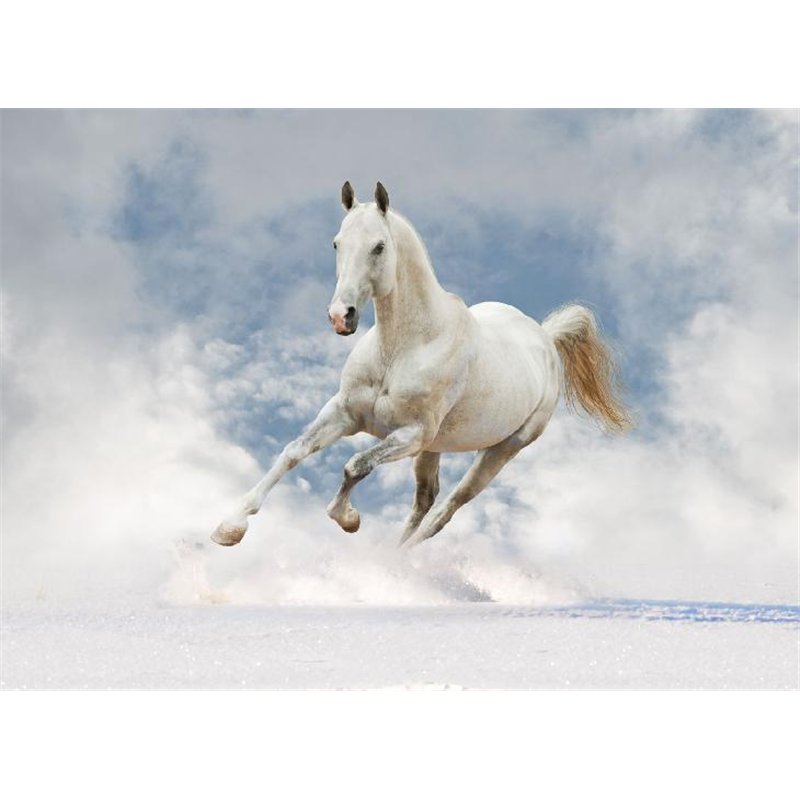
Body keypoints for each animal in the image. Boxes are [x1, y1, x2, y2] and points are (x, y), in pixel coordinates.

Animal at [212, 181, 631, 549]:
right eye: (336, 243)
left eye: (379, 246)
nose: (340, 316)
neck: (402, 350)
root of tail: (544, 336)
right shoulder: (343, 413)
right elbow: (294, 451)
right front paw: (230, 527)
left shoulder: (410, 436)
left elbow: (355, 465)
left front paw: (348, 519)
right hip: (436, 446)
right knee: (426, 500)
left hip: (500, 450)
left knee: (447, 510)